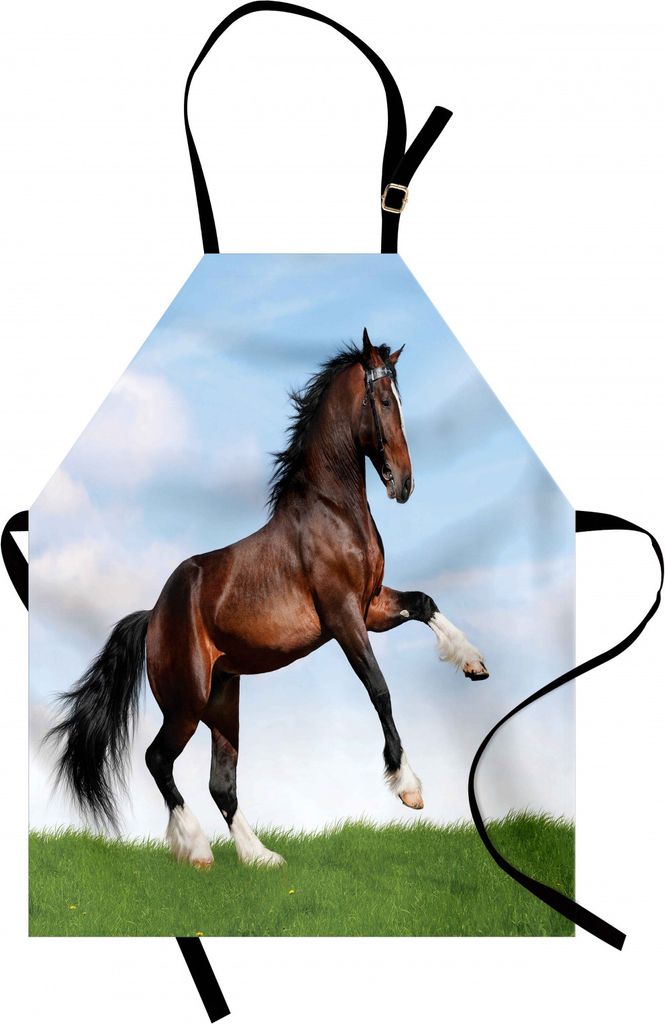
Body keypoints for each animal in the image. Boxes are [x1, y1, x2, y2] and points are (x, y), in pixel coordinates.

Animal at [48, 328, 489, 869]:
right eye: (384, 400)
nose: (404, 484)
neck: (333, 509)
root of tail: (152, 617)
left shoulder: (372, 605)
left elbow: (424, 602)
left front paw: (473, 663)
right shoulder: (344, 617)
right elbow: (380, 690)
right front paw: (408, 788)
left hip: (223, 701)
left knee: (221, 783)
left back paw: (261, 857)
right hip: (186, 704)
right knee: (158, 760)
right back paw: (196, 848)